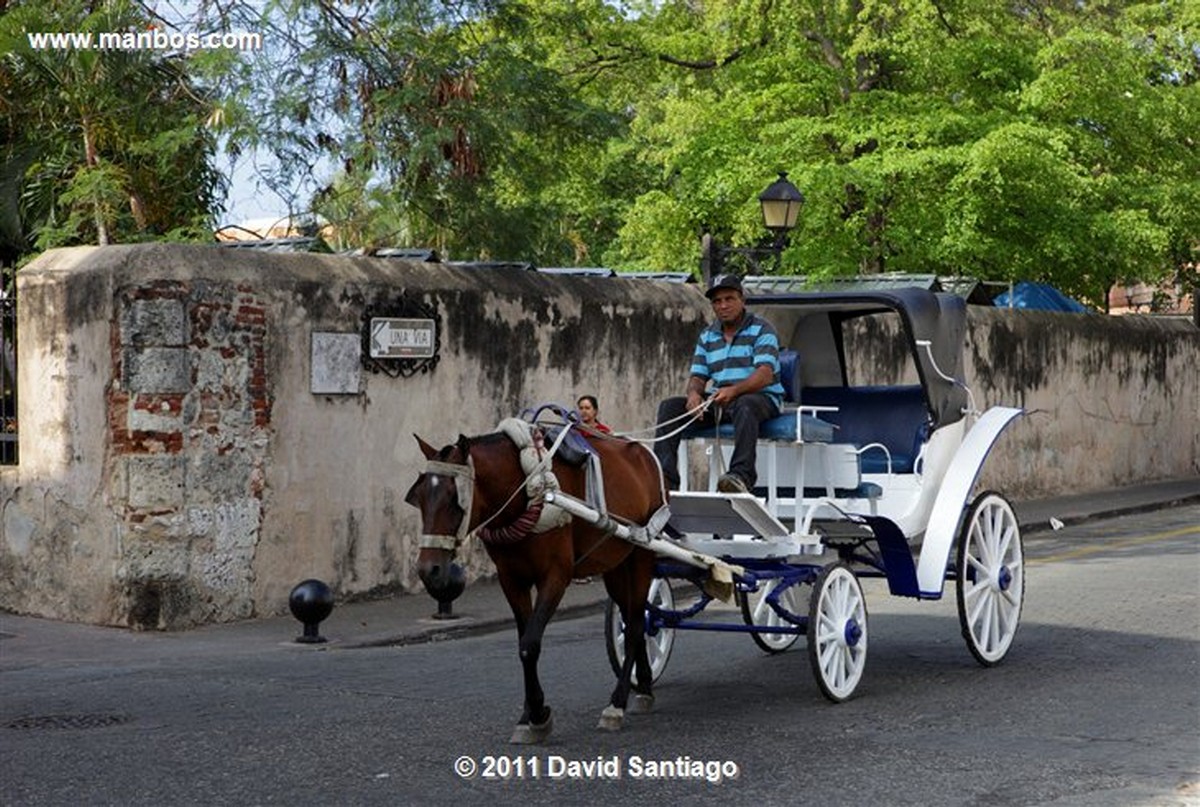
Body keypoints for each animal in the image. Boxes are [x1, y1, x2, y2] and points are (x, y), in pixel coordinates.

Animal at [405, 425, 667, 749]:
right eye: (418, 497)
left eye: (455, 497)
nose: (429, 570)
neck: (526, 492)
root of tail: (643, 451)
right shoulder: (512, 579)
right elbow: (522, 642)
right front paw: (530, 715)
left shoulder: (555, 576)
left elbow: (530, 645)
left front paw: (538, 714)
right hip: (616, 562)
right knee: (634, 617)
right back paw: (644, 685)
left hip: (642, 553)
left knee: (634, 627)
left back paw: (616, 703)